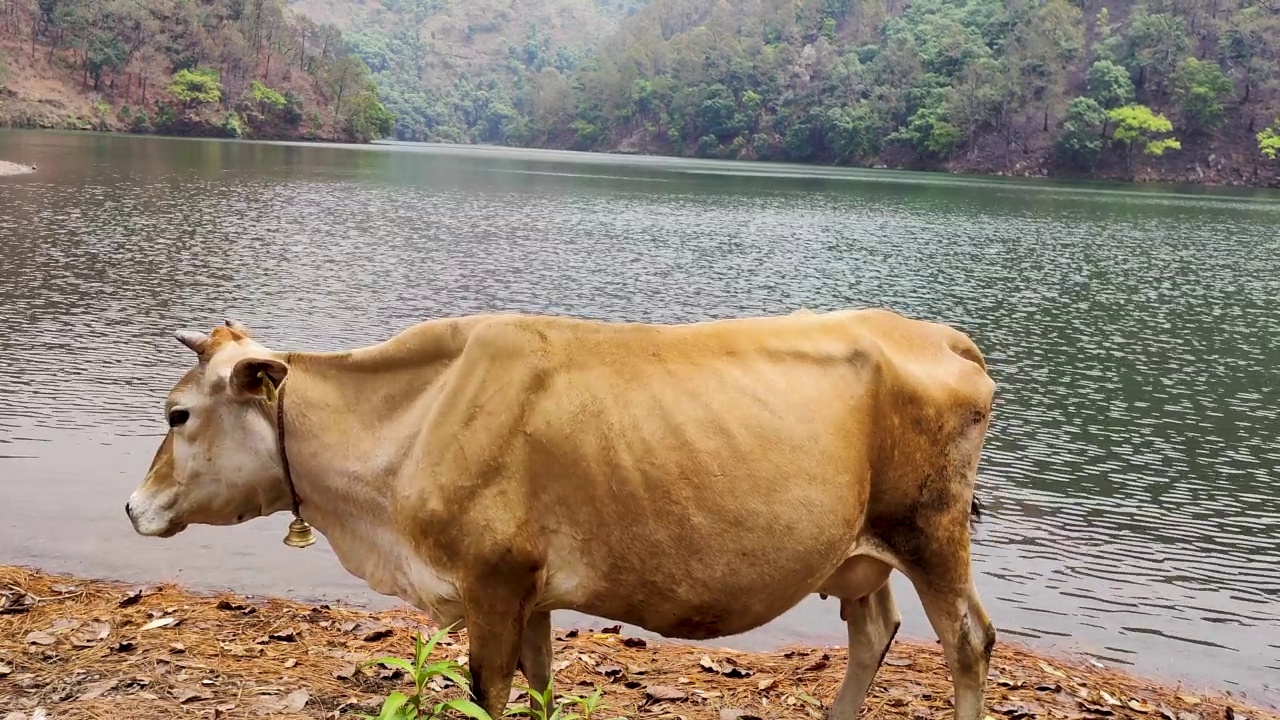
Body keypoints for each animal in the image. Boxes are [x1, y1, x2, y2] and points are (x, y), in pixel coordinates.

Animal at [124, 308, 993, 717]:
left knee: (967, 642)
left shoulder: (491, 583)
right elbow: (542, 687)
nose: (133, 507)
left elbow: (488, 693)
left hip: (932, 531)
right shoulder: (532, 591)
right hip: (861, 548)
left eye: (177, 415)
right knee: (873, 631)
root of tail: (934, 332)